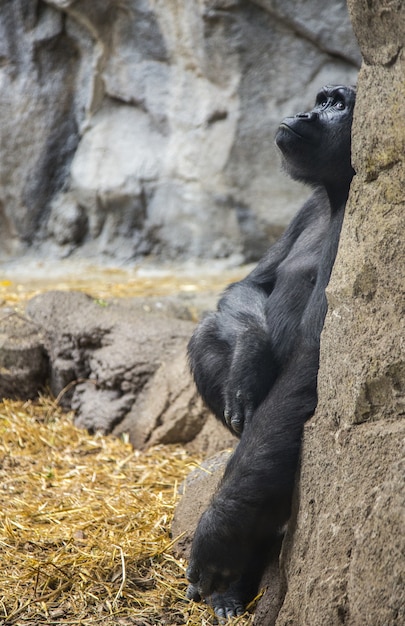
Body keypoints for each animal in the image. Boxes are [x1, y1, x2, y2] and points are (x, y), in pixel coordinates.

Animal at [185, 85, 356, 616]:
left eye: (336, 105)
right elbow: (251, 285)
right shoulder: (306, 207)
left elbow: (312, 363)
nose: (305, 112)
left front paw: (221, 531)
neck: (335, 191)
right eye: (321, 99)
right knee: (208, 334)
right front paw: (251, 358)